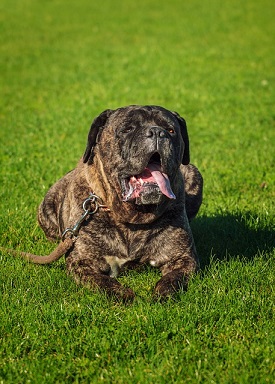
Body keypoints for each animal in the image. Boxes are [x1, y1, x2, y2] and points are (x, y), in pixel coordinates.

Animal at [37, 105, 204, 300]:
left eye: (170, 130)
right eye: (127, 129)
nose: (157, 132)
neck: (132, 217)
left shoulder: (183, 258)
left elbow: (173, 279)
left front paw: (162, 294)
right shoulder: (82, 262)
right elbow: (102, 281)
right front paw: (123, 294)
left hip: (194, 173)